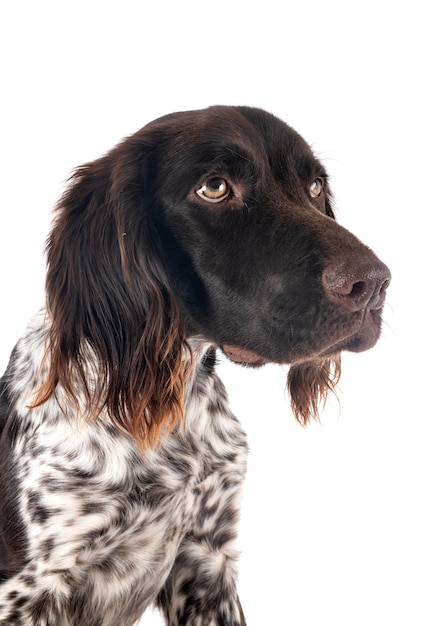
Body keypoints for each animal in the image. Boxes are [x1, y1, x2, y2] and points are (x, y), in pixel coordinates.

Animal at [0, 105, 388, 620]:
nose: (374, 283)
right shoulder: (35, 585)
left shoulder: (206, 560)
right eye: (215, 187)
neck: (164, 402)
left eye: (314, 187)